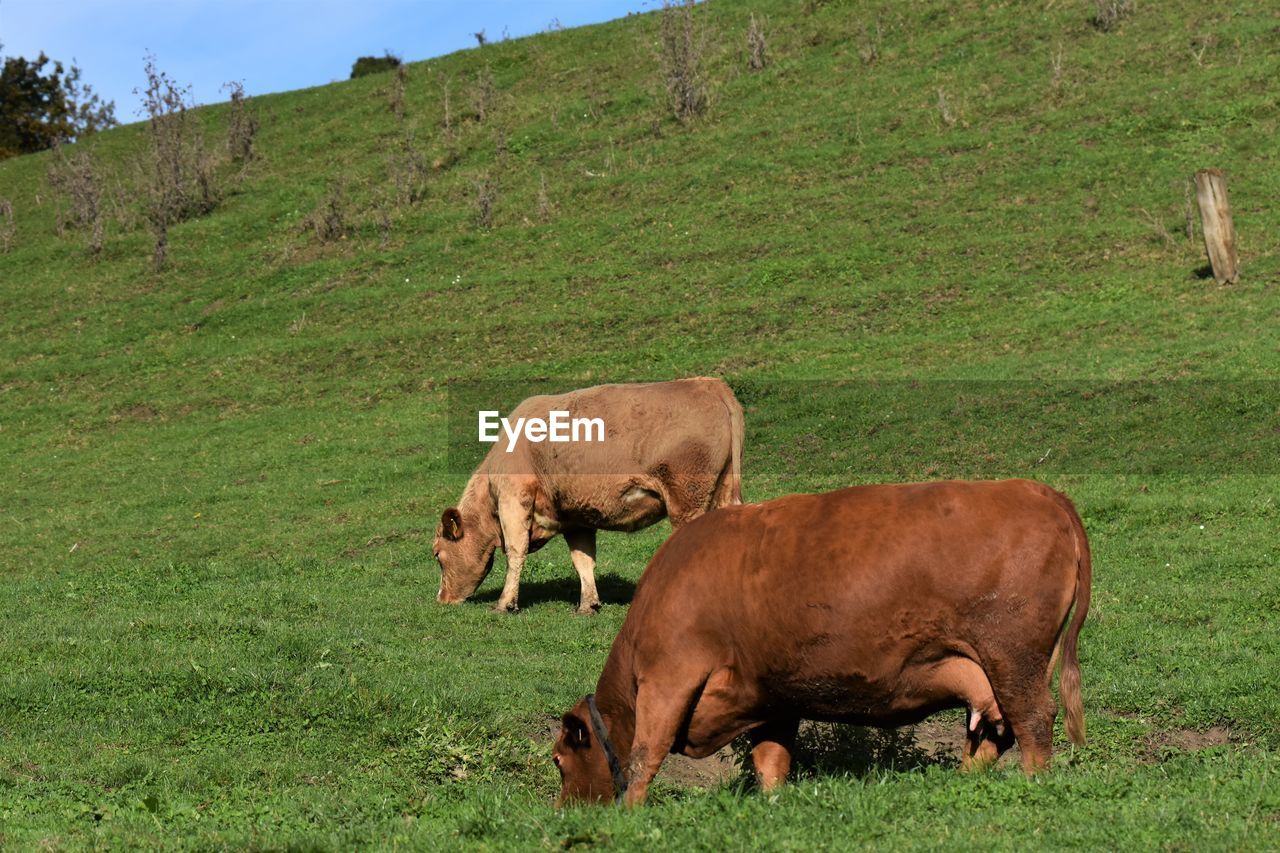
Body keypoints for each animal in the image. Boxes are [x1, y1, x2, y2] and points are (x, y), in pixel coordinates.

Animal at [435, 379, 747, 612]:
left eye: (437, 554)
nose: (442, 599)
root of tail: (709, 384)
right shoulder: (575, 517)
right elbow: (583, 559)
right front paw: (588, 604)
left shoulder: (514, 498)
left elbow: (515, 551)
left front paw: (504, 604)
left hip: (687, 500)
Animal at [550, 479, 1090, 804]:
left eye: (558, 761)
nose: (565, 811)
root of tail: (1037, 490)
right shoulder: (769, 695)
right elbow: (770, 759)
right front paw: (773, 803)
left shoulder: (670, 674)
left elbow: (646, 752)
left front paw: (631, 812)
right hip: (1001, 668)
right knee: (998, 731)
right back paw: (960, 786)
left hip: (1013, 656)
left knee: (1034, 722)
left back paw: (1031, 785)